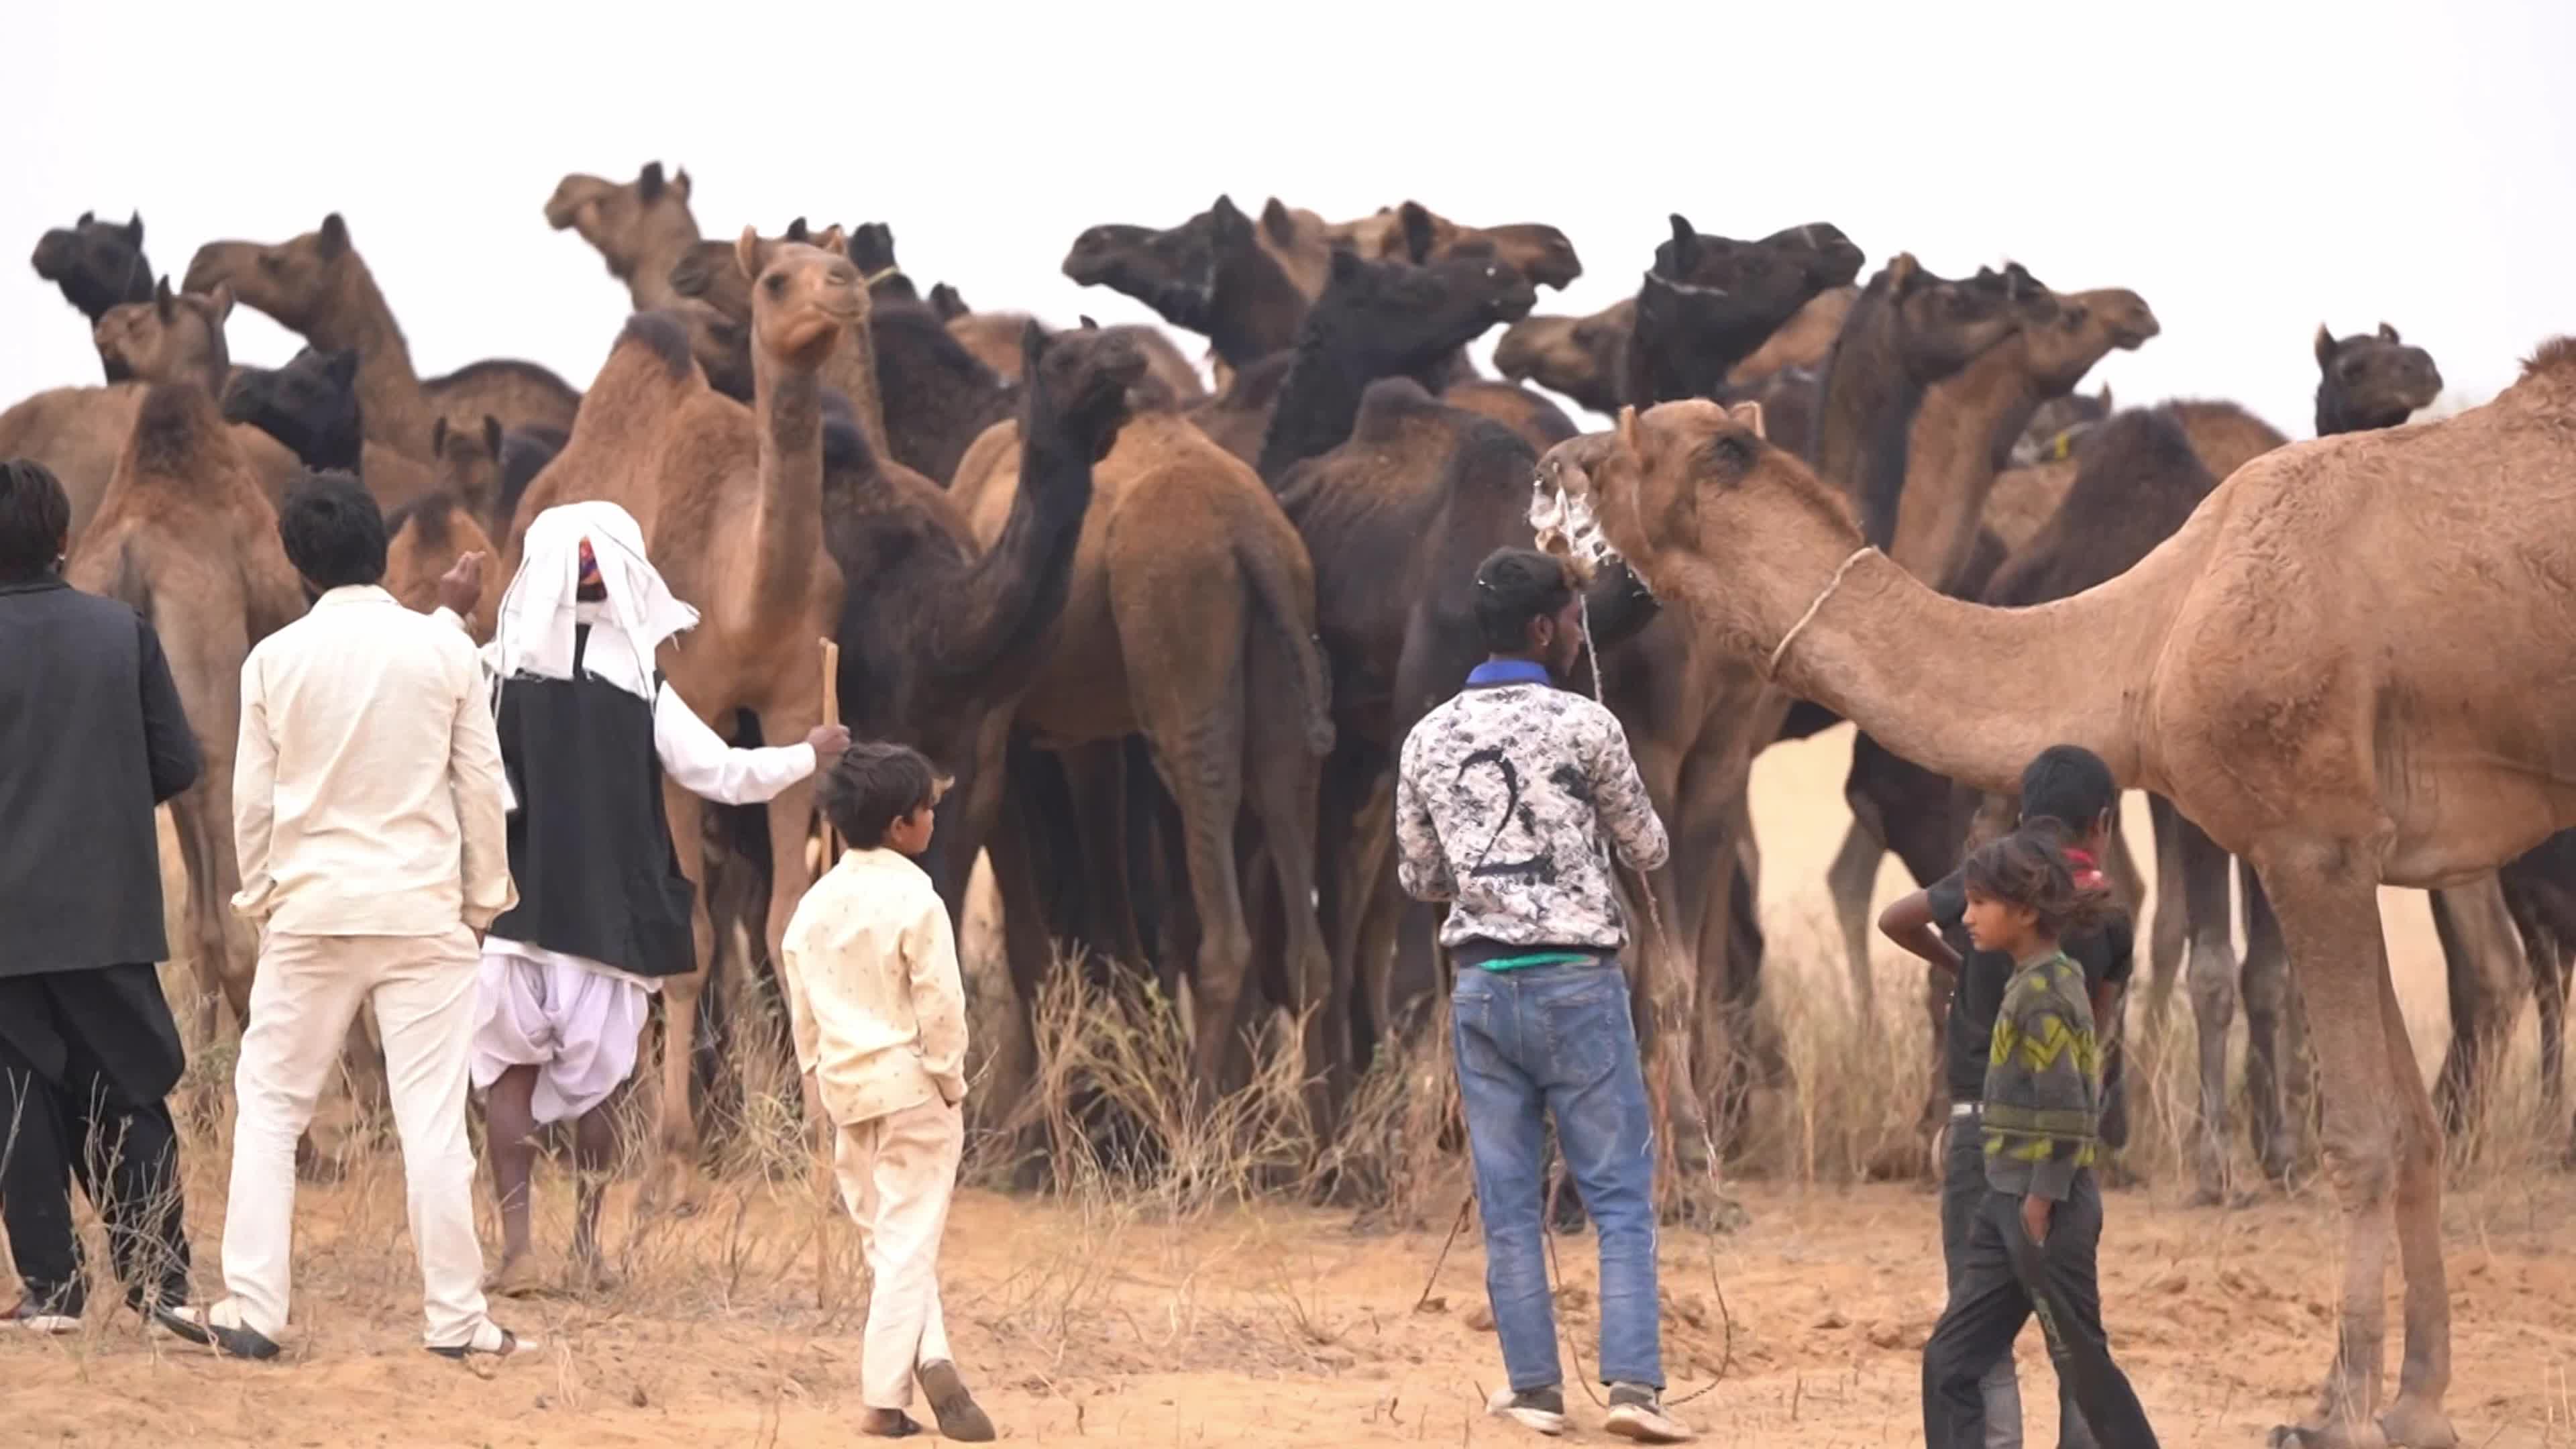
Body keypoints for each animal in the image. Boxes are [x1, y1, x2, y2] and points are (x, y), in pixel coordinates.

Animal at [1542, 344, 2576, 1445]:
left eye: (1633, 445)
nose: (1555, 458)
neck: (2147, 641)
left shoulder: (2313, 843)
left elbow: (2366, 1133)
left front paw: (2337, 1407)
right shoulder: (2354, 848)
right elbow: (2415, 1128)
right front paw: (2418, 1400)